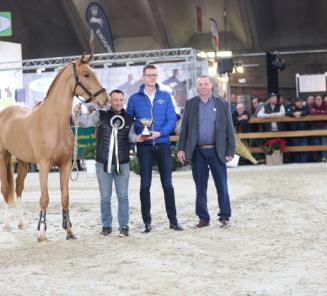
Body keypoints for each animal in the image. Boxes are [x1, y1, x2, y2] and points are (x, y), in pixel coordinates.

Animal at [0, 54, 108, 242]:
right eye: (86, 74)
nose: (106, 99)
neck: (53, 122)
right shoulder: (44, 165)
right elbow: (45, 198)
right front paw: (42, 233)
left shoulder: (65, 165)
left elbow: (65, 198)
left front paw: (69, 232)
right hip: (4, 157)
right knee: (6, 189)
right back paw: (7, 225)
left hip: (22, 161)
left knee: (18, 187)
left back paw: (22, 224)